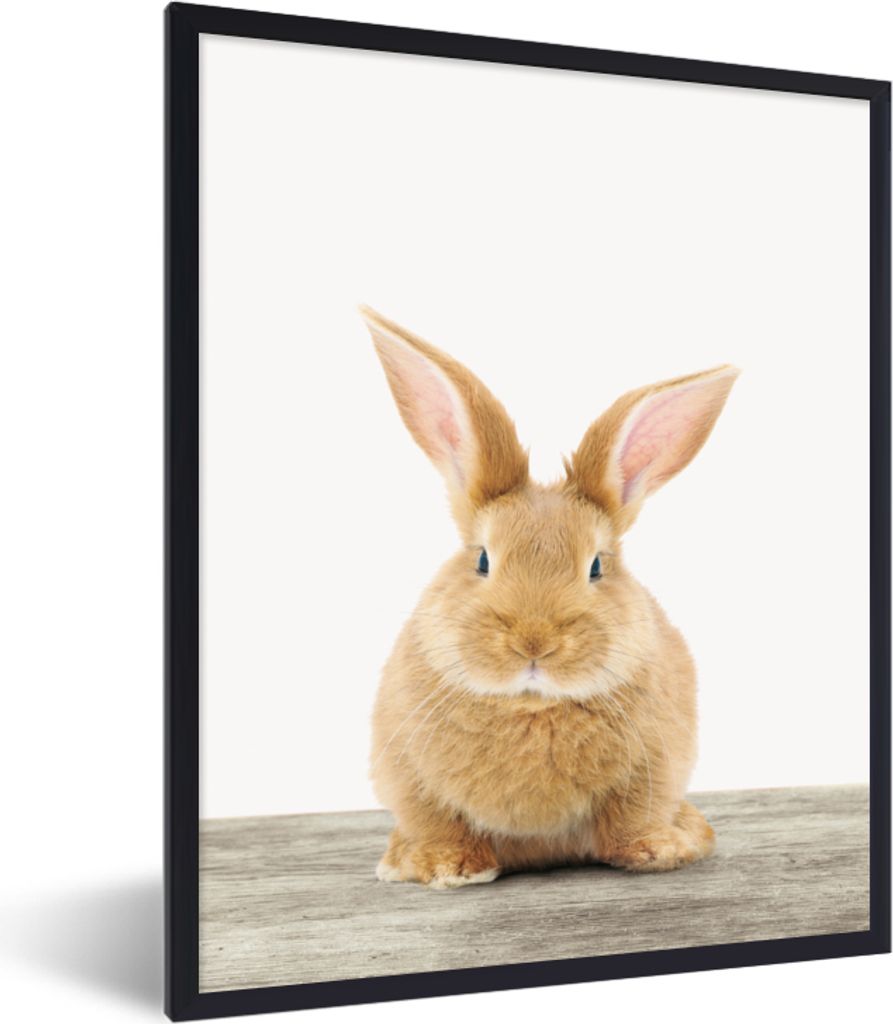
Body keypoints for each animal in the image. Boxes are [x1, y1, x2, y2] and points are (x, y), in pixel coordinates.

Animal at [360, 305, 738, 890]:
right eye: (482, 559)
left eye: (597, 566)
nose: (533, 641)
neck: (530, 704)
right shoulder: (410, 774)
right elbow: (439, 822)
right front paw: (448, 869)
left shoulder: (652, 768)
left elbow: (631, 818)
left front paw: (657, 851)